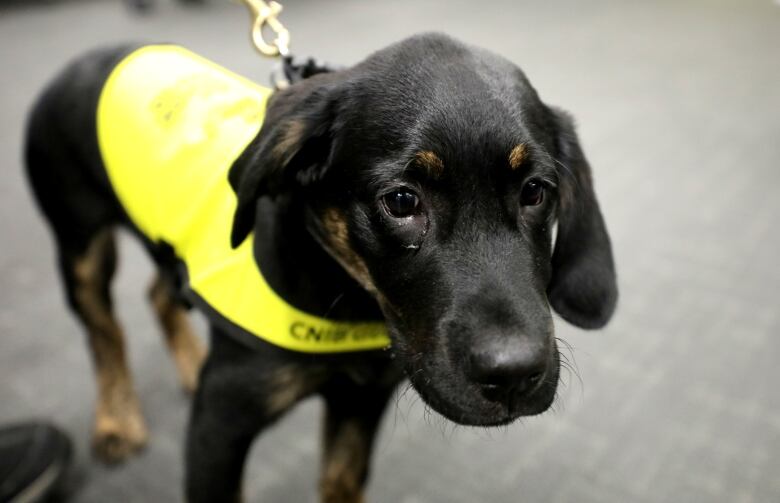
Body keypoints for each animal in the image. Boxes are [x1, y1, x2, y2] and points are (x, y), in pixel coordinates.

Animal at [24, 33, 616, 502]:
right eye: (401, 201)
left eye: (536, 192)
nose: (514, 375)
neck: (345, 296)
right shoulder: (220, 422)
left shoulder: (361, 399)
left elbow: (340, 482)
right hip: (78, 245)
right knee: (104, 333)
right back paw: (117, 421)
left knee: (158, 292)